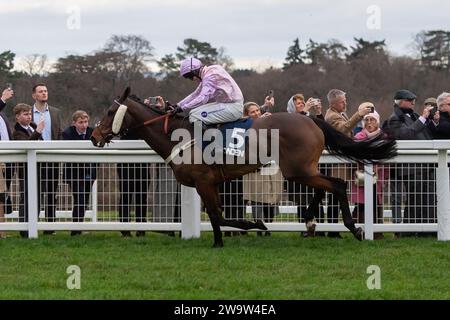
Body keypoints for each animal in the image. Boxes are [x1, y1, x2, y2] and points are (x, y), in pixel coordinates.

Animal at [91, 87, 398, 248]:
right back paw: (311, 221)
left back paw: (353, 229)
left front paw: (253, 224)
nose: (94, 136)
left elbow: (220, 216)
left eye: (109, 112)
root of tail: (311, 119)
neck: (178, 136)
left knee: (337, 185)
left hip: (298, 169)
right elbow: (218, 216)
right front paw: (219, 241)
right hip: (303, 170)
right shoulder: (209, 184)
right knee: (327, 188)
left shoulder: (204, 182)